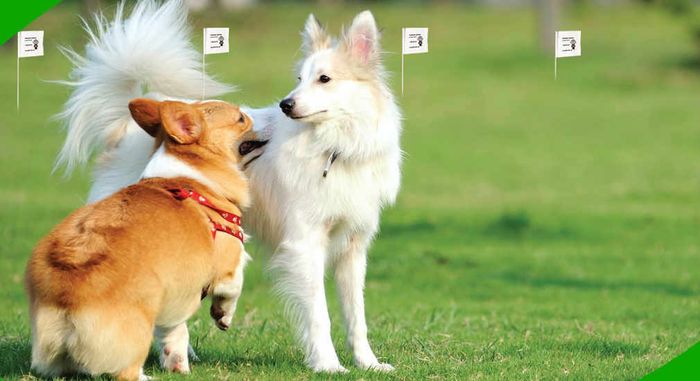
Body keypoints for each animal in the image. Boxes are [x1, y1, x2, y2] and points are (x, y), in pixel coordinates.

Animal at [26, 98, 254, 380]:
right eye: (241, 119)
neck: (192, 176)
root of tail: (67, 294)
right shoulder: (228, 264)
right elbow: (233, 288)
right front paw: (223, 315)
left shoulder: (175, 293)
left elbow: (174, 332)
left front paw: (177, 363)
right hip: (139, 324)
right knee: (127, 371)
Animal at [56, 0, 400, 374]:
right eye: (299, 79)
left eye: (324, 79)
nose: (285, 105)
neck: (333, 147)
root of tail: (128, 126)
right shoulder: (304, 245)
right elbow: (319, 315)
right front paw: (327, 365)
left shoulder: (353, 247)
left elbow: (356, 316)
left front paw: (368, 363)